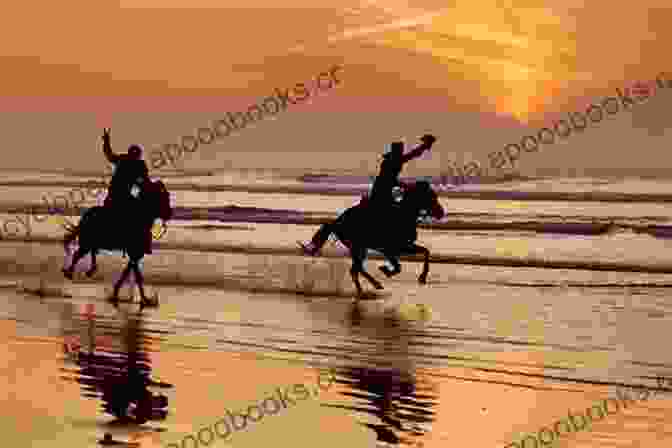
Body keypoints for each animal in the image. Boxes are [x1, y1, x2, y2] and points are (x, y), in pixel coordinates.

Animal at [62, 179, 173, 308]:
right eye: (163, 197)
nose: (169, 214)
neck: (142, 216)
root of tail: (85, 216)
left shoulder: (135, 255)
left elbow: (128, 273)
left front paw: (119, 294)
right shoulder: (135, 253)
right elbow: (137, 276)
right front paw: (144, 299)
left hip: (91, 242)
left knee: (91, 252)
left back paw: (89, 270)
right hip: (87, 242)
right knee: (78, 255)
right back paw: (70, 272)